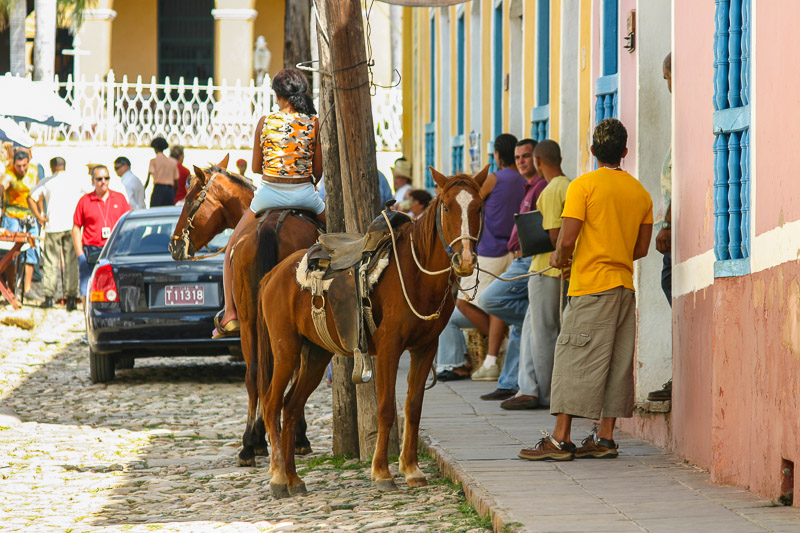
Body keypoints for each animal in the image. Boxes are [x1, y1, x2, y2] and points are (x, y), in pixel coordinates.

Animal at [169, 155, 321, 466]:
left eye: (189, 200)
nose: (174, 245)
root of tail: (271, 224)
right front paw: (297, 436)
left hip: (251, 321)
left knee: (254, 375)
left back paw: (250, 444)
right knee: (269, 374)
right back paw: (263, 440)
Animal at [257, 166, 488, 498]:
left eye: (479, 207)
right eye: (446, 207)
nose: (465, 260)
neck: (415, 274)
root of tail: (273, 275)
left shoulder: (426, 347)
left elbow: (413, 407)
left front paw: (412, 469)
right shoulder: (390, 348)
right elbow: (386, 409)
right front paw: (382, 472)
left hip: (315, 355)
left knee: (291, 407)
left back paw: (294, 479)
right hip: (285, 350)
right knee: (272, 403)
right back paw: (277, 477)